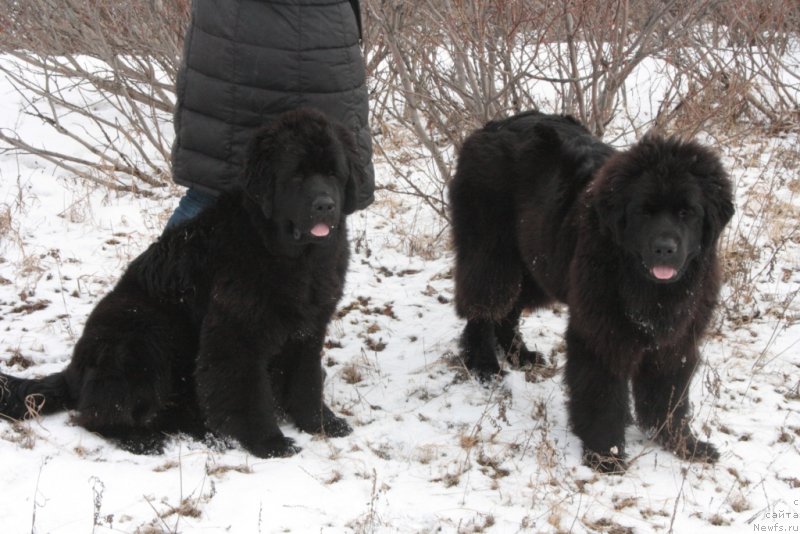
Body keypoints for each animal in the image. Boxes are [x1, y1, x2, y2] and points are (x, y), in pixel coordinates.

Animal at [0, 109, 360, 460]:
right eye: (296, 175)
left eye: (333, 174)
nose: (325, 205)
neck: (292, 256)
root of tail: (73, 371)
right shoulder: (236, 333)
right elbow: (247, 391)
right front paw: (268, 441)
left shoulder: (308, 328)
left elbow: (305, 382)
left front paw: (321, 423)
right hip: (142, 334)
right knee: (97, 414)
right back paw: (140, 439)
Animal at [446, 112, 736, 474]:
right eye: (643, 211)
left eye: (687, 212)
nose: (665, 249)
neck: (646, 285)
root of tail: (489, 128)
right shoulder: (601, 333)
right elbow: (602, 395)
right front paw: (605, 455)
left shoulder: (676, 340)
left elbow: (669, 396)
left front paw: (682, 443)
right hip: (492, 253)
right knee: (483, 306)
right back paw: (484, 366)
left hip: (537, 261)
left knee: (508, 309)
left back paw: (520, 354)